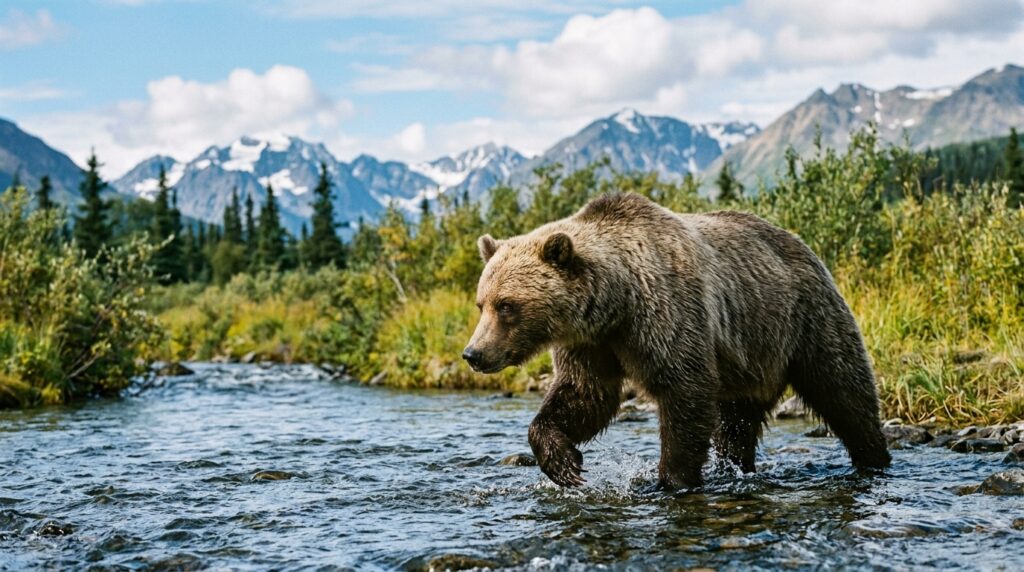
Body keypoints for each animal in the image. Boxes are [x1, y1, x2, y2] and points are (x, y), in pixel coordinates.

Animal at [462, 192, 891, 489]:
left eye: (507, 306)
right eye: (482, 303)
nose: (473, 353)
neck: (616, 303)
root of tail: (803, 245)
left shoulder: (665, 313)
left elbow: (685, 390)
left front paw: (671, 479)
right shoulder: (590, 343)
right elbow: (585, 395)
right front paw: (563, 462)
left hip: (804, 320)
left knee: (844, 391)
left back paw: (874, 458)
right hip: (749, 359)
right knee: (736, 424)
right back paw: (734, 468)